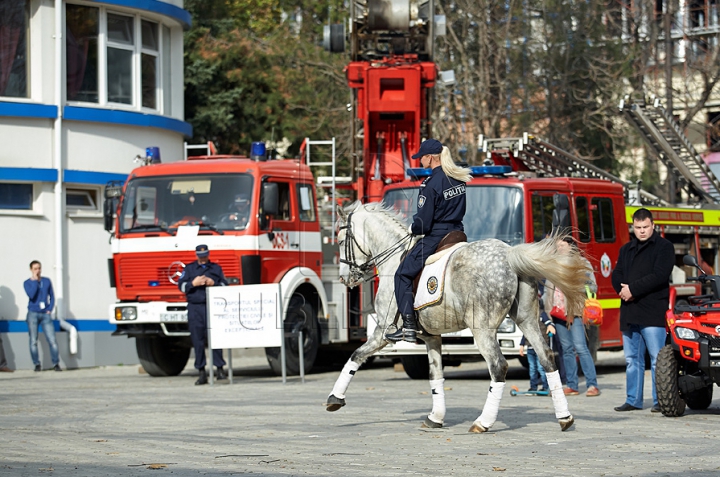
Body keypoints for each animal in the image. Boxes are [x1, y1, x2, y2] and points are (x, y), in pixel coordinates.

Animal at [326, 201, 592, 432]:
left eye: (339, 240)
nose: (344, 278)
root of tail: (509, 254)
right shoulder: (431, 337)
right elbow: (436, 376)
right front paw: (435, 417)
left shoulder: (383, 332)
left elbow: (355, 356)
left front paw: (335, 398)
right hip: (527, 321)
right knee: (547, 357)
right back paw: (564, 417)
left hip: (482, 329)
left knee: (498, 366)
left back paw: (483, 422)